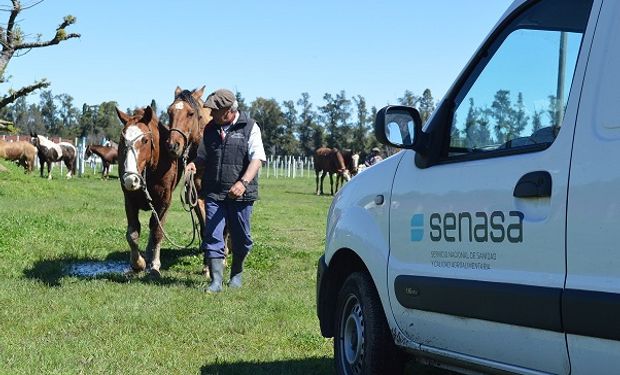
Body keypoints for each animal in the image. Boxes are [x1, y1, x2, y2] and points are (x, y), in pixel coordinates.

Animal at [117, 106, 182, 276]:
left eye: (145, 140)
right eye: (122, 141)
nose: (130, 179)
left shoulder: (164, 203)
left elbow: (157, 232)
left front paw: (154, 265)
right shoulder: (129, 200)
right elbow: (132, 234)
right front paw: (138, 263)